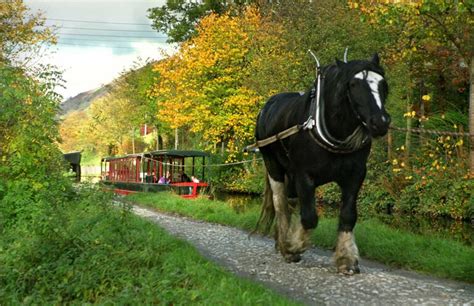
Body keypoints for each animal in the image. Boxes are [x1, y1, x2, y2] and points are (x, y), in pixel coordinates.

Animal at [256, 54, 388, 274]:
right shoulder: (304, 175)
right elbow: (309, 217)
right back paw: (284, 242)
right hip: (273, 165)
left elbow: (348, 215)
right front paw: (293, 246)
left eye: (383, 83)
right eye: (353, 84)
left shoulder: (355, 175)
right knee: (280, 203)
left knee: (290, 202)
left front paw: (346, 258)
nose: (381, 121)